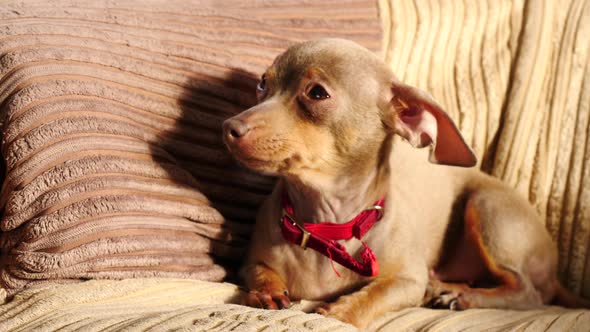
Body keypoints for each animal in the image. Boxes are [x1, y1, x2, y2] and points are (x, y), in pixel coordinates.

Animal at [222, 38, 590, 326]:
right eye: (262, 84)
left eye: (316, 93)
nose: (229, 127)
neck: (328, 226)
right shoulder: (250, 263)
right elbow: (260, 272)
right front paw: (266, 293)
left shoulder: (407, 280)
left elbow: (374, 294)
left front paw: (338, 312)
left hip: (490, 210)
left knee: (528, 293)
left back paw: (460, 295)